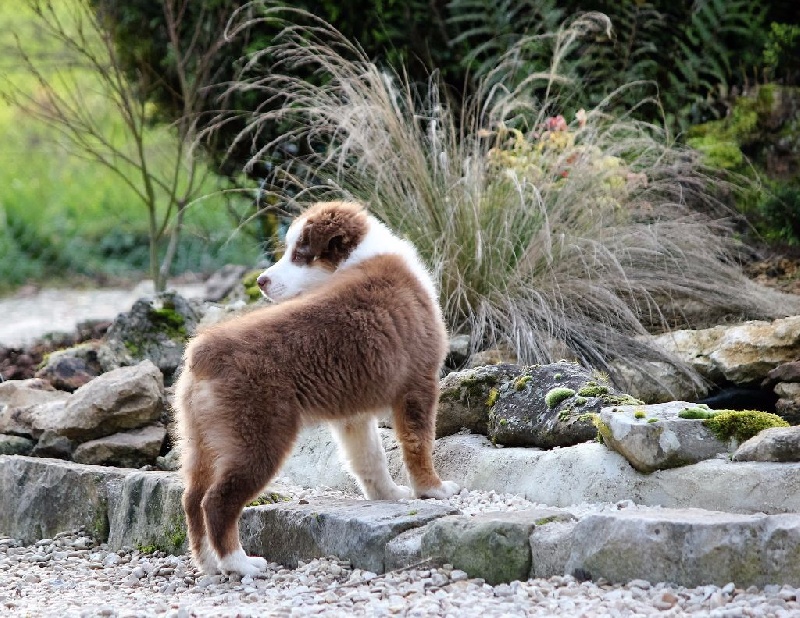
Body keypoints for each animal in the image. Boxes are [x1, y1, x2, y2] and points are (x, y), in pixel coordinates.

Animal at [177, 200, 462, 576]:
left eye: (300, 254)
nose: (261, 281)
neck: (359, 258)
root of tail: (203, 352)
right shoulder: (419, 384)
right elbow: (418, 445)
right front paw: (432, 490)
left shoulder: (353, 415)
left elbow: (369, 459)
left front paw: (388, 496)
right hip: (259, 438)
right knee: (217, 501)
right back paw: (239, 563)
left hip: (203, 439)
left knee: (192, 497)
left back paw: (209, 563)